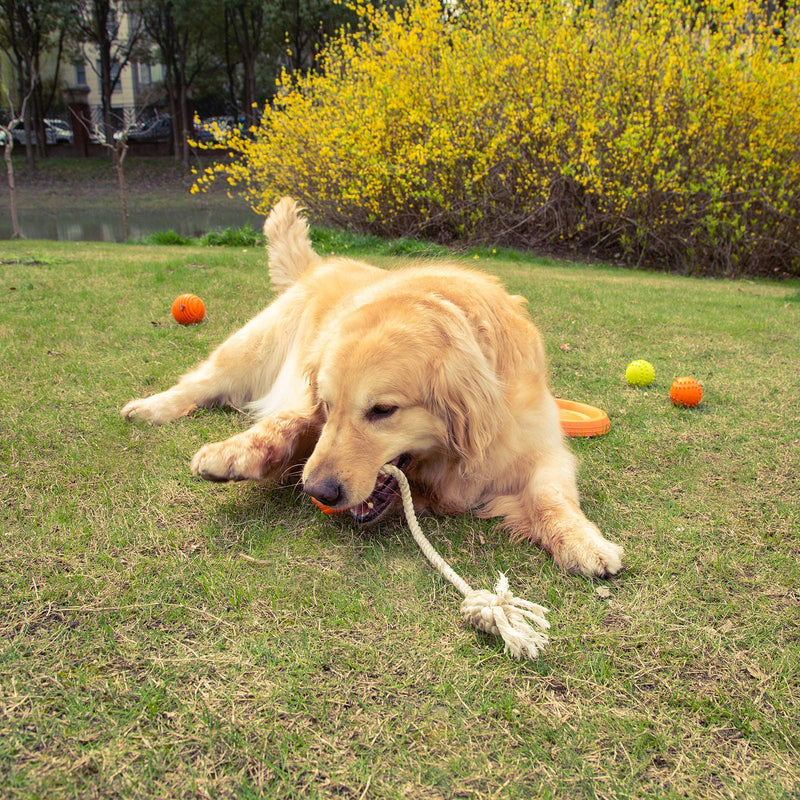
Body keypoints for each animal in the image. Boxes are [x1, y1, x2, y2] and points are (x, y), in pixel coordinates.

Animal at [122, 198, 624, 580]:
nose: (319, 491)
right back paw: (149, 408)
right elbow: (288, 421)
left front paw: (584, 542)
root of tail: (324, 263)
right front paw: (233, 454)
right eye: (328, 404)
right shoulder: (308, 411)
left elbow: (551, 496)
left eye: (383, 410)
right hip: (250, 349)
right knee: (201, 381)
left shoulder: (539, 445)